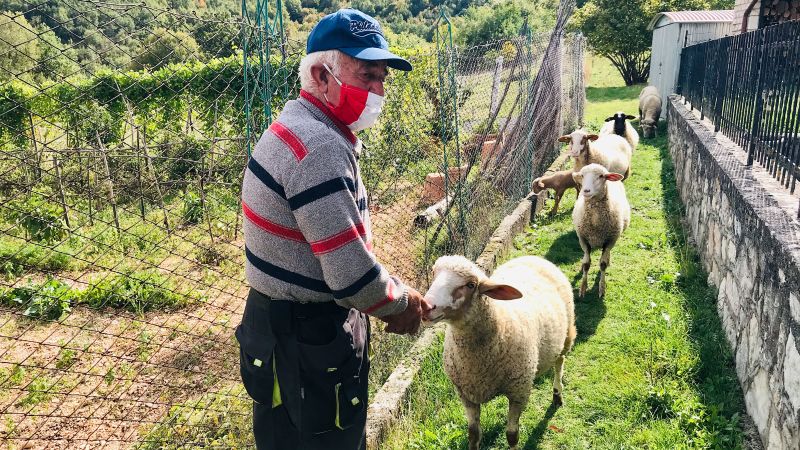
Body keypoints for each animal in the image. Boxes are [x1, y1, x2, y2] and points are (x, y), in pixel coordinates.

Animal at [418, 255, 576, 448]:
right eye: (433, 273)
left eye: (471, 284)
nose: (426, 306)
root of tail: (533, 257)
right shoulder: (466, 395)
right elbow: (473, 434)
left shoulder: (518, 392)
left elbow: (512, 435)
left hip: (567, 333)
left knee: (559, 363)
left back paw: (557, 394)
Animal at [568, 163, 632, 298]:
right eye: (582, 175)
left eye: (601, 176)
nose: (586, 191)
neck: (595, 223)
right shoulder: (583, 239)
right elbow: (586, 264)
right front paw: (582, 288)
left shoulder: (610, 240)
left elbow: (602, 264)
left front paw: (602, 288)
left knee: (607, 255)